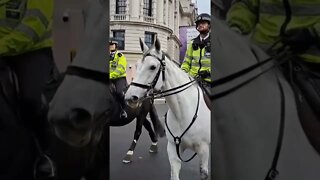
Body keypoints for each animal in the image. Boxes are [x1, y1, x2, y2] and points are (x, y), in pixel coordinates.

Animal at [126, 37, 211, 179]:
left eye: (153, 67)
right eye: (136, 66)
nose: (129, 97)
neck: (182, 113)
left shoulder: (204, 151)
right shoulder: (173, 150)